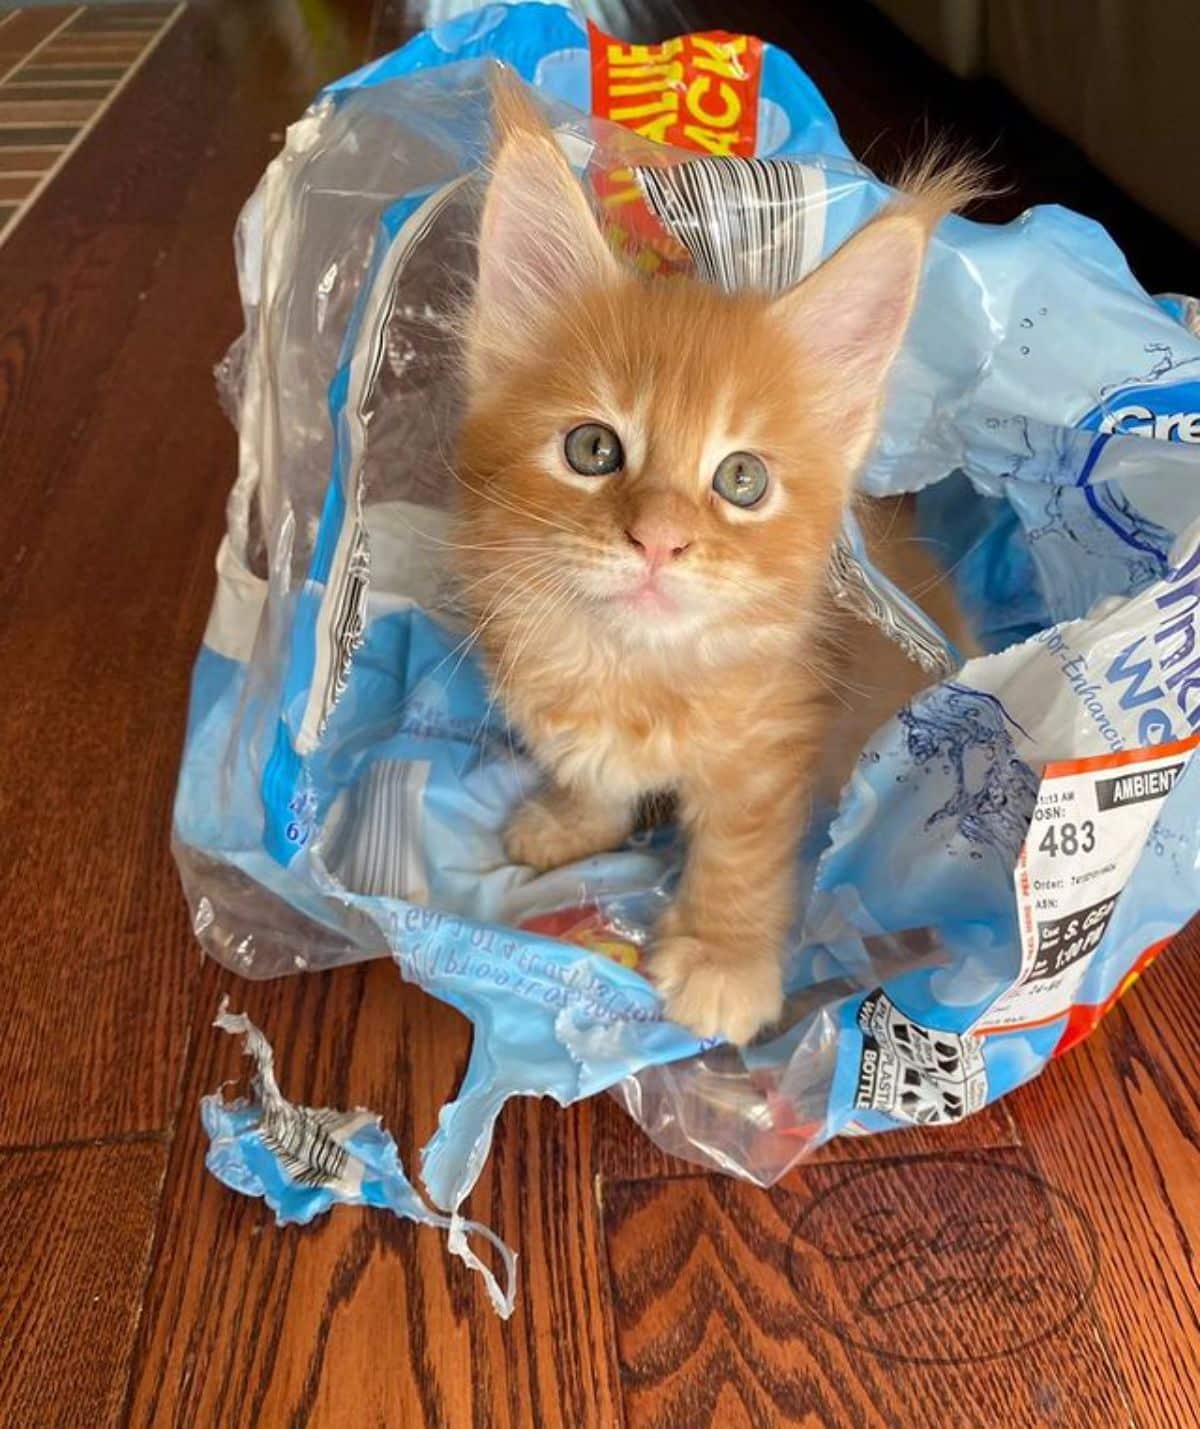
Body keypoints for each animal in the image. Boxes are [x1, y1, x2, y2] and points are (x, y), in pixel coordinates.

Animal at [451, 75, 977, 1040]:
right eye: (592, 449)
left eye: (742, 478)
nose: (658, 538)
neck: (632, 668)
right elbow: (589, 769)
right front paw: (573, 820)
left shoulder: (776, 741)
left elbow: (743, 851)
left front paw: (724, 961)